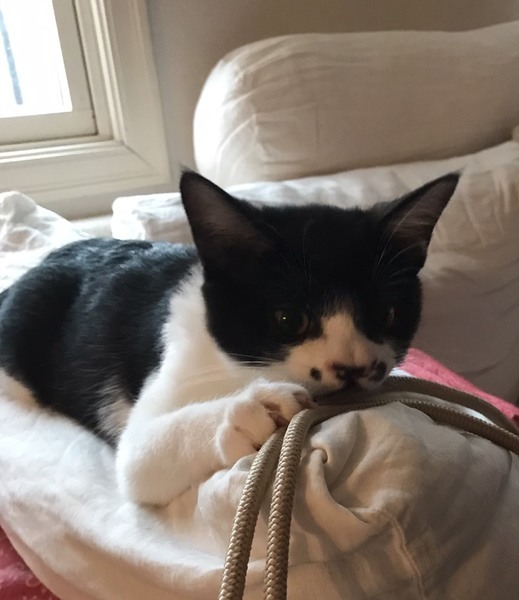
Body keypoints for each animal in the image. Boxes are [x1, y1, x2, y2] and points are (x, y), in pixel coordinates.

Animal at [0, 171, 459, 506]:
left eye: (386, 314)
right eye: (288, 318)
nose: (353, 368)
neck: (235, 361)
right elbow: (141, 457)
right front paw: (255, 408)